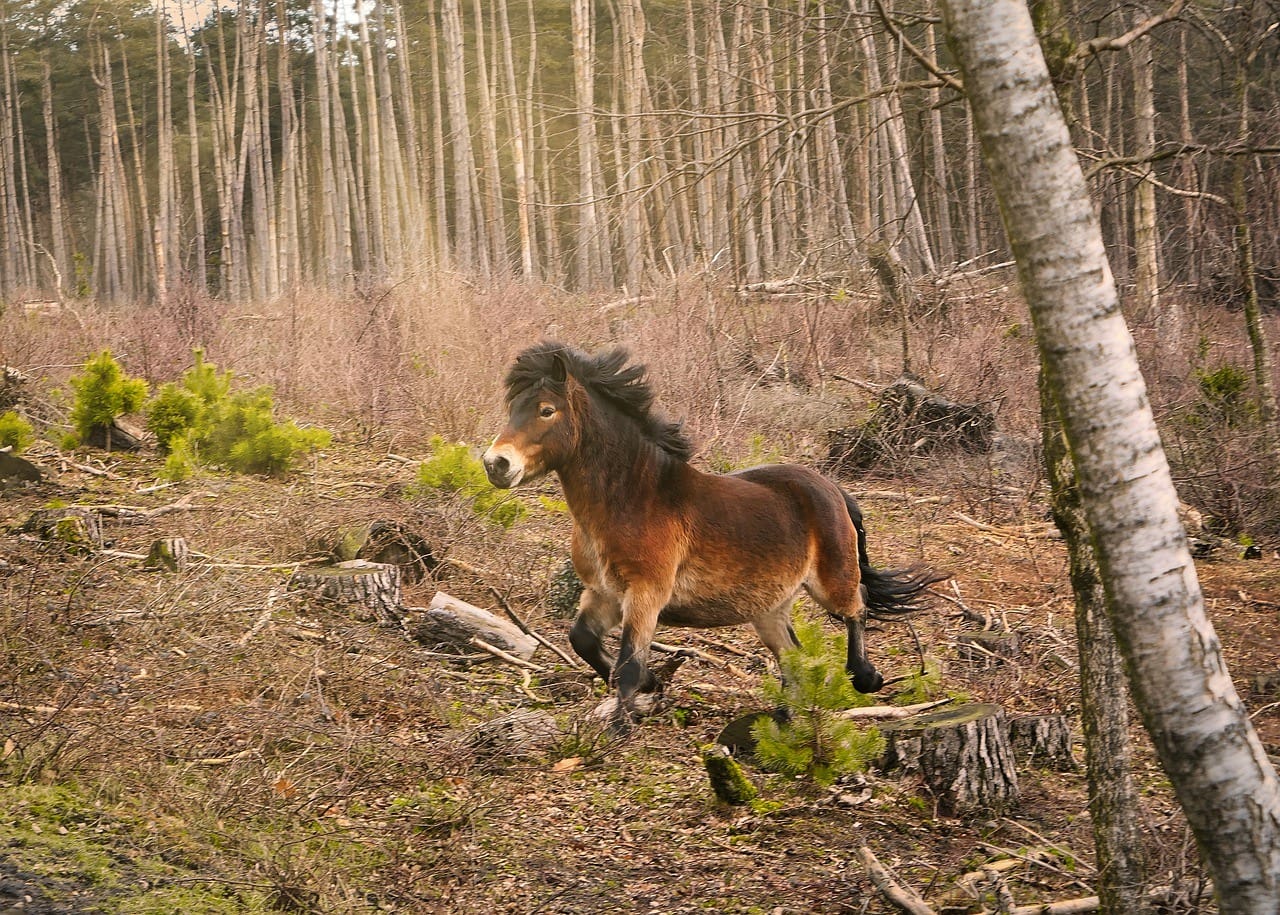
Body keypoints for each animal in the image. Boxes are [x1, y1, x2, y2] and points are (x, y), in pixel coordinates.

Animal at [481, 342, 942, 721]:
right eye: (513, 407)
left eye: (546, 409)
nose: (495, 464)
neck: (633, 496)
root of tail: (833, 489)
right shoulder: (604, 593)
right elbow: (583, 641)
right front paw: (653, 685)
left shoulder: (646, 594)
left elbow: (629, 666)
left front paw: (620, 729)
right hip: (768, 608)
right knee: (792, 655)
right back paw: (787, 716)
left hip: (830, 582)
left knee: (857, 606)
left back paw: (865, 677)